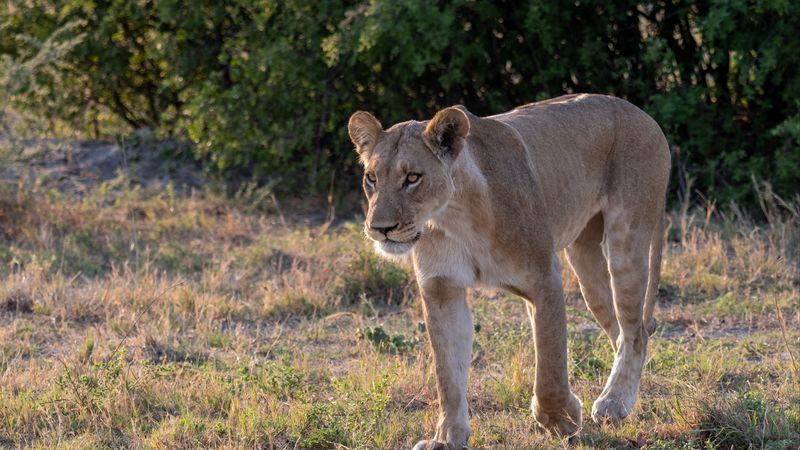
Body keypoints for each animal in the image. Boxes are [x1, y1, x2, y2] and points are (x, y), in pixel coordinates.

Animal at [347, 93, 670, 449]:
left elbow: (550, 366)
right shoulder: (442, 290)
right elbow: (448, 374)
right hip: (586, 266)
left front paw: (561, 419)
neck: (454, 216)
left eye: (413, 178)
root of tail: (640, 112)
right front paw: (447, 438)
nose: (381, 228)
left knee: (635, 332)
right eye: (372, 178)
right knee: (622, 333)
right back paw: (622, 398)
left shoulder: (544, 279)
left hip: (626, 239)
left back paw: (614, 403)